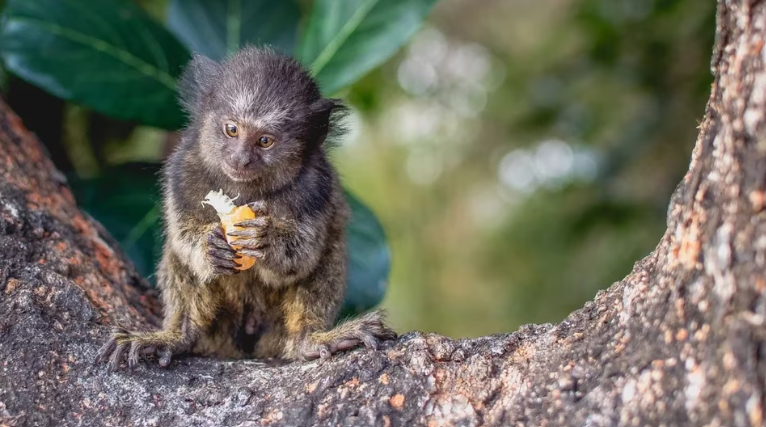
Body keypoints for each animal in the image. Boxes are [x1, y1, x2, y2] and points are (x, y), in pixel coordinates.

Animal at [97, 45, 396, 370]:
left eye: (264, 141)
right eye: (232, 130)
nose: (240, 158)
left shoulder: (316, 186)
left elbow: (301, 258)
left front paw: (264, 240)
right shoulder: (182, 171)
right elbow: (185, 239)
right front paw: (209, 246)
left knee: (329, 250)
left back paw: (310, 340)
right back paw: (178, 337)